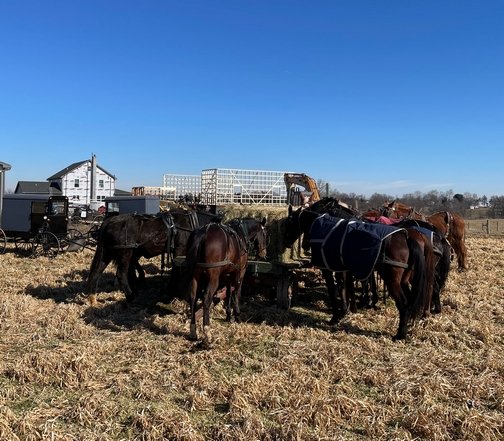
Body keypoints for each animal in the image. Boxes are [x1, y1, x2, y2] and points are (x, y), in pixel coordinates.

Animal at [282, 206, 428, 340]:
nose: (286, 243)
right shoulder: (341, 270)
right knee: (411, 300)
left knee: (403, 304)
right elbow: (343, 289)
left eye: (288, 223)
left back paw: (400, 335)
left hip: (392, 281)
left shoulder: (327, 269)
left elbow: (333, 291)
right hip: (403, 280)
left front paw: (335, 317)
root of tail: (407, 238)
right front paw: (343, 312)